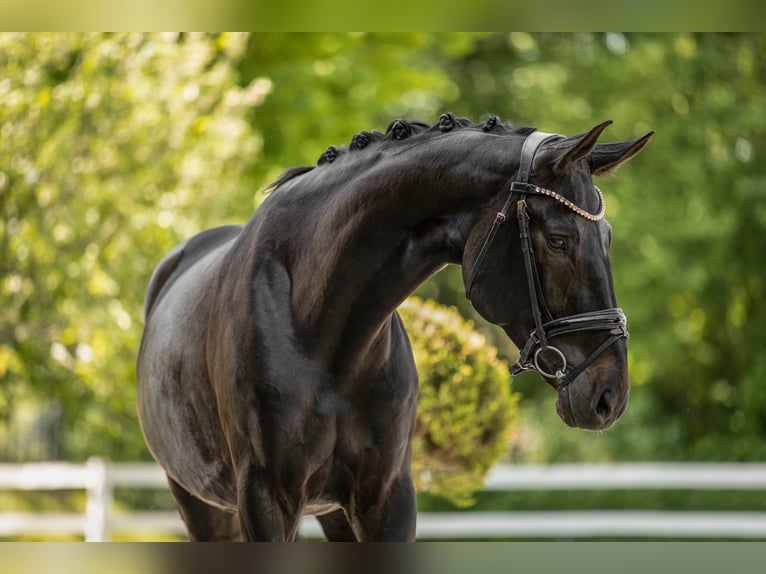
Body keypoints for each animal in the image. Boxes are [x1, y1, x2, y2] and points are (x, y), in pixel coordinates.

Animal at [138, 113, 656, 544]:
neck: (321, 330)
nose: (610, 396)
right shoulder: (266, 499)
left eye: (607, 238)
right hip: (201, 505)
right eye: (559, 241)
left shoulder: (386, 496)